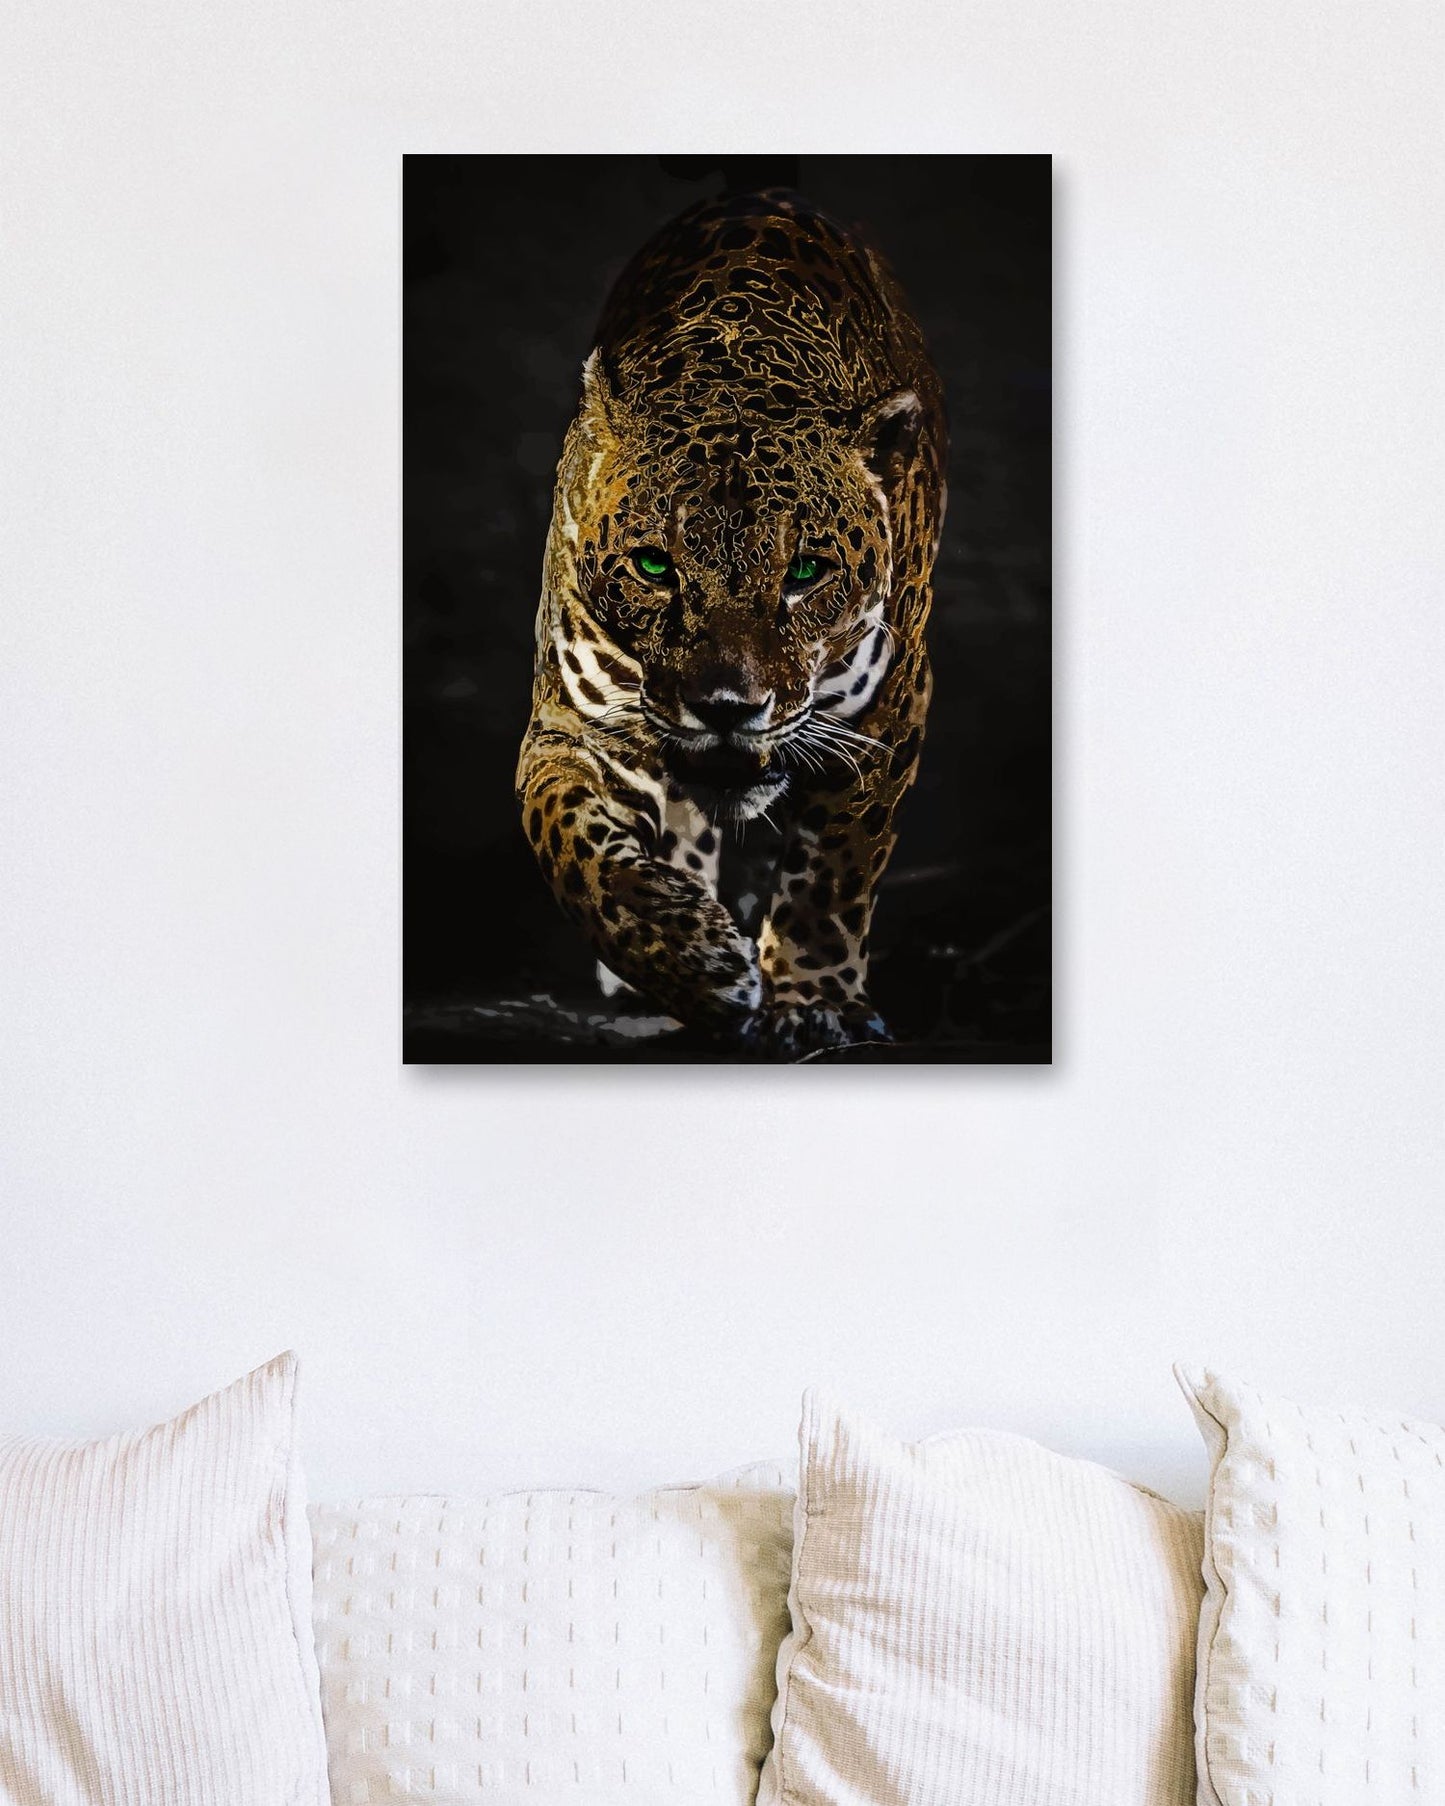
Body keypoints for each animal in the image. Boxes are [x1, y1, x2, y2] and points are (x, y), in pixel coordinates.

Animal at [515, 186, 948, 1057]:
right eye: (654, 567)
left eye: (806, 574)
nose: (725, 708)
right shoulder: (574, 723)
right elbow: (570, 841)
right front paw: (694, 963)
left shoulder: (884, 715)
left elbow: (835, 870)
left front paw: (814, 1003)